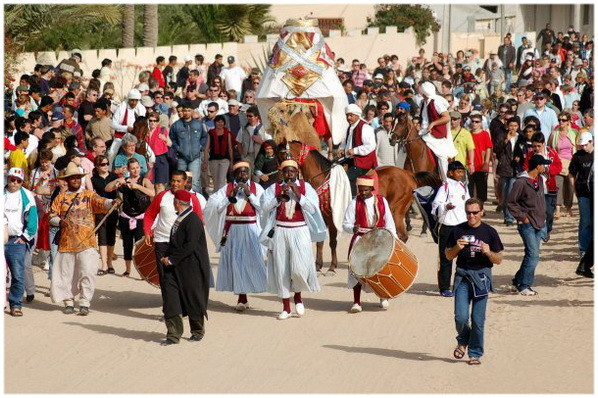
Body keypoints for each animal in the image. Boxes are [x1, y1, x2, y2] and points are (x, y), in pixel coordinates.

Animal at [280, 140, 440, 274]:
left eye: (282, 154)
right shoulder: (322, 216)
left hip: (396, 211)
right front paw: (318, 266)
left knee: (402, 235)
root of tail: (409, 175)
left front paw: (331, 267)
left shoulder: (332, 218)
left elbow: (332, 242)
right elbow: (320, 242)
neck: (323, 179)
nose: (282, 174)